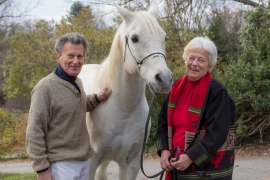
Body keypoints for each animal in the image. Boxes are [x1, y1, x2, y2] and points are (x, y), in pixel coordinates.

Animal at [78, 2, 173, 180]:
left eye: (164, 37)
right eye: (134, 38)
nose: (164, 79)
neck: (122, 110)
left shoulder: (131, 162)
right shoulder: (91, 162)